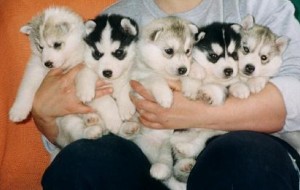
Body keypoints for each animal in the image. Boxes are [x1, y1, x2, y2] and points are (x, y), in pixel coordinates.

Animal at [129, 16, 199, 189]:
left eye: (188, 51)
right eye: (169, 51)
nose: (183, 69)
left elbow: (191, 74)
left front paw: (193, 81)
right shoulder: (141, 79)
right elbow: (156, 79)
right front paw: (165, 97)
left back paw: (184, 165)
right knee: (166, 164)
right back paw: (161, 169)